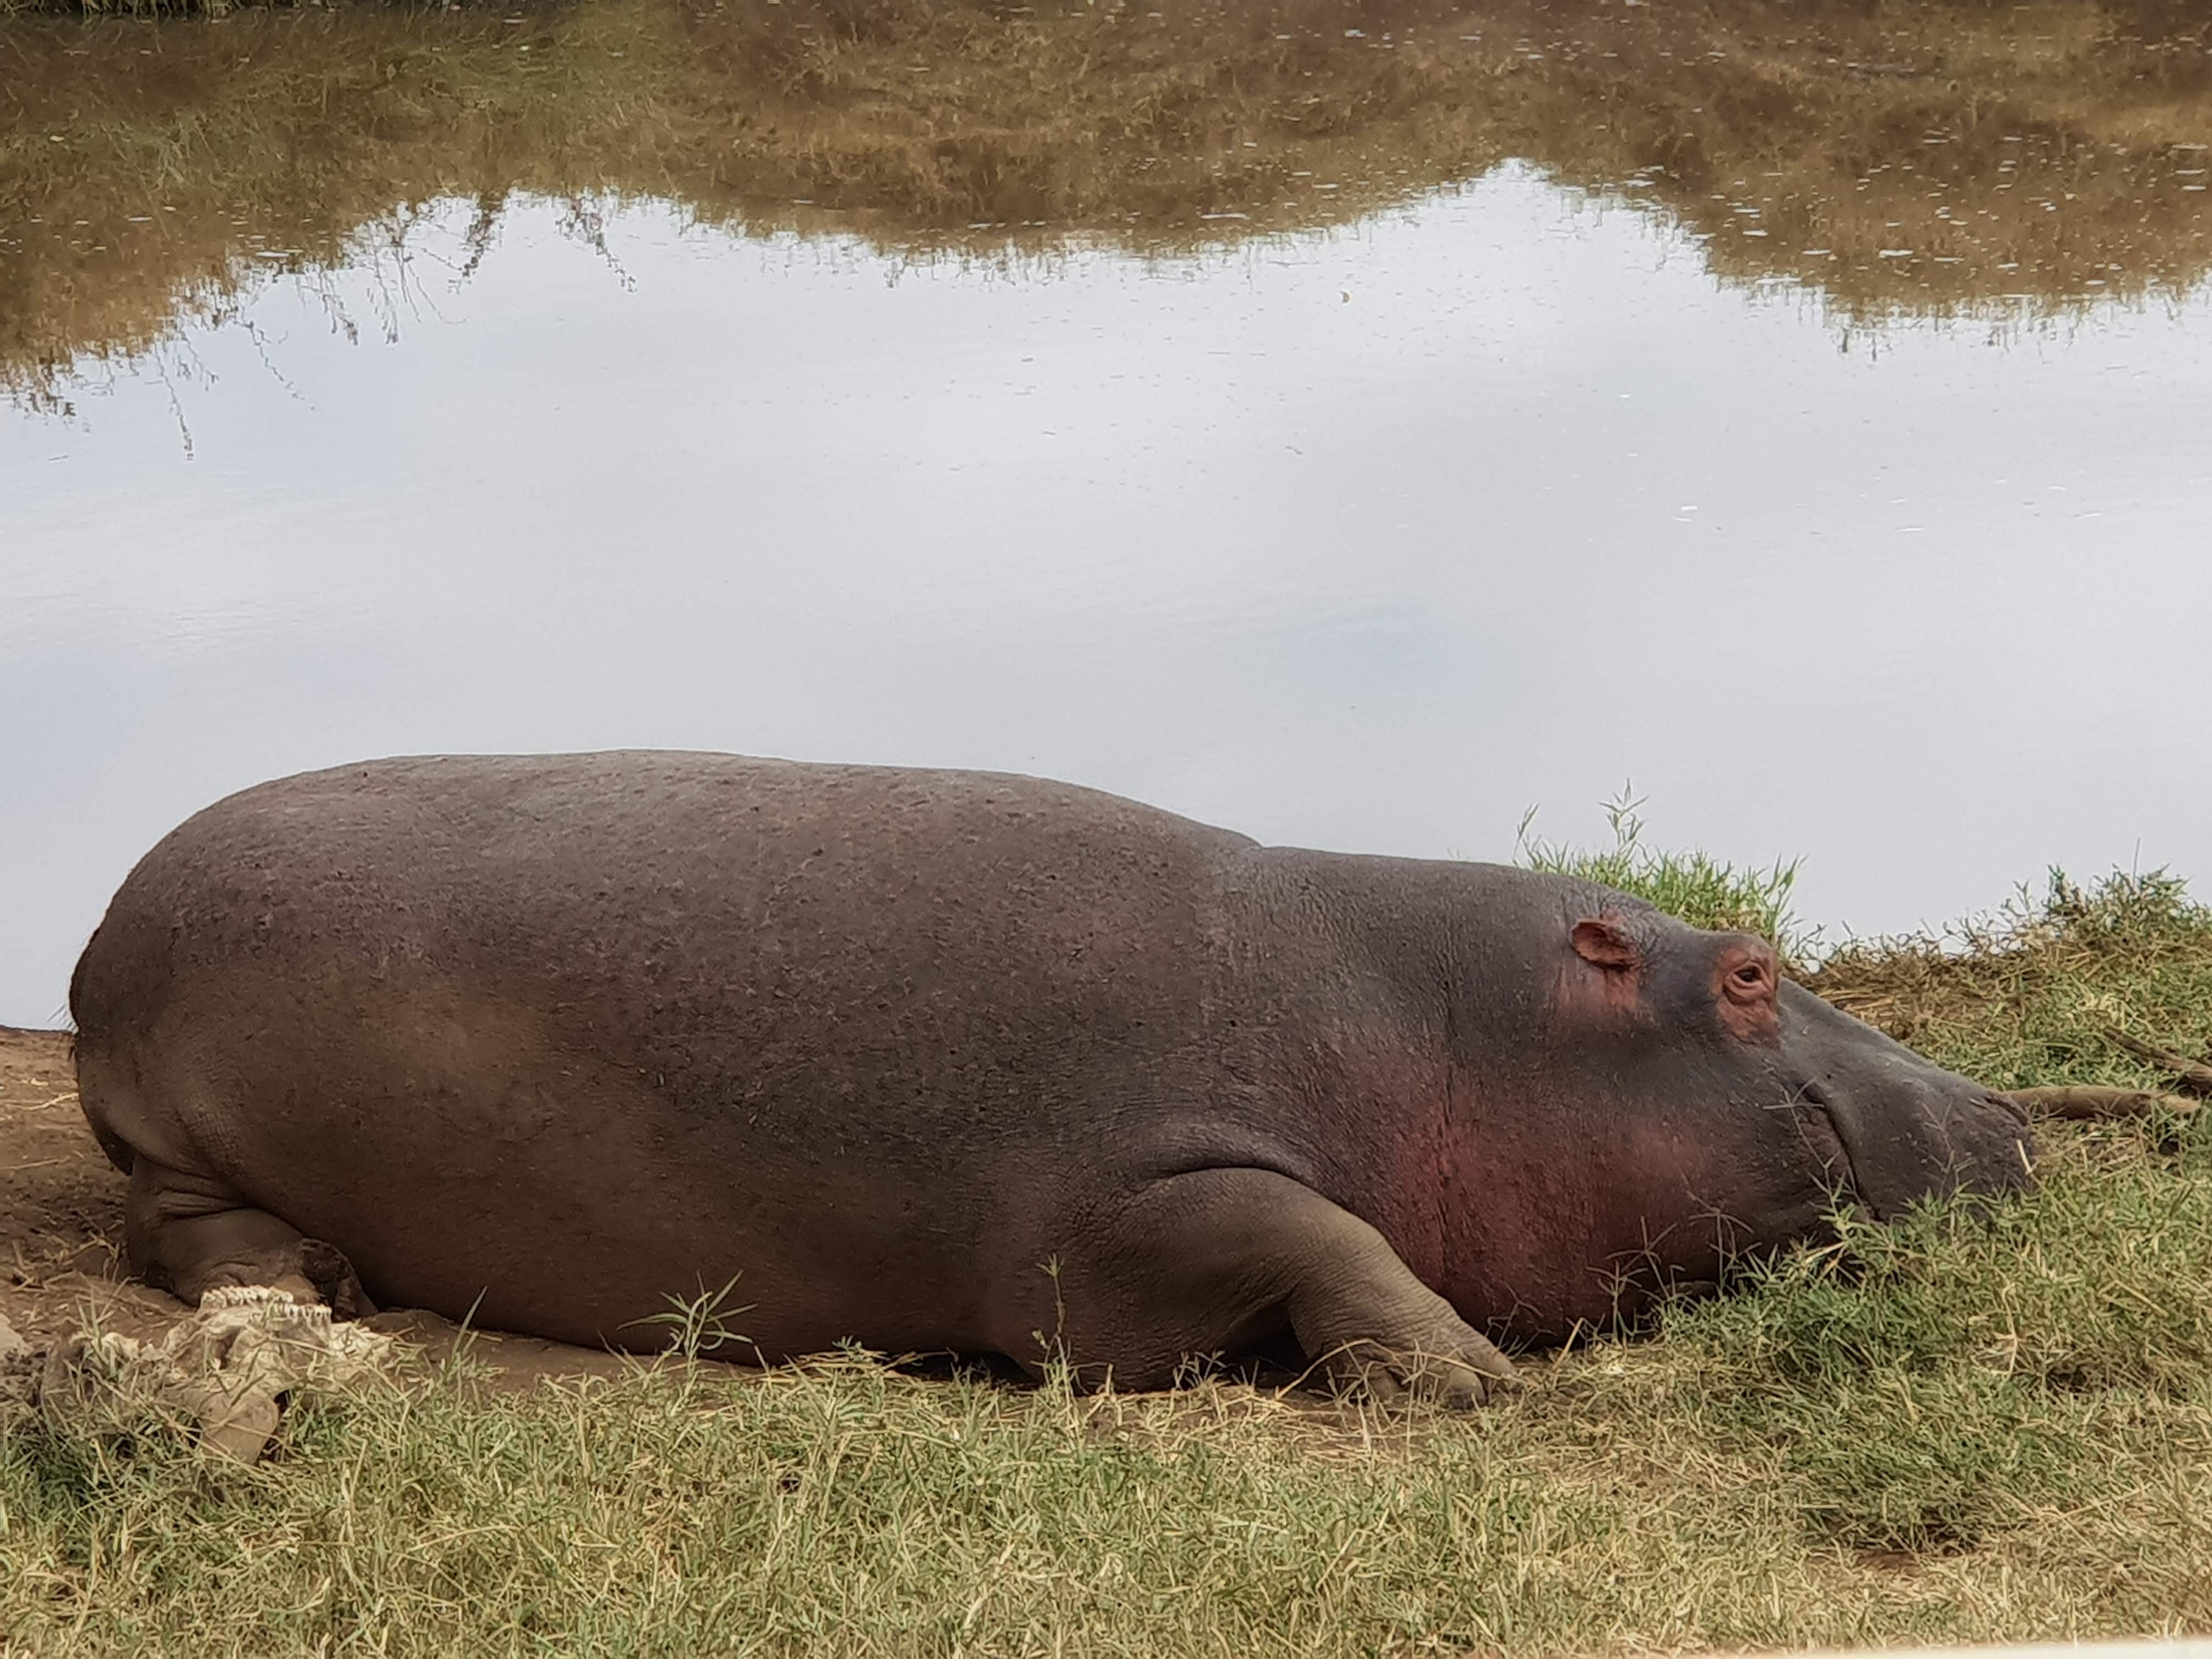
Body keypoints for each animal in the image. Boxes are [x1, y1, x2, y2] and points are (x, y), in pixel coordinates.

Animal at [69, 752, 2033, 1403]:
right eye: (1753, 971)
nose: (2008, 1111)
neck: (1444, 1025)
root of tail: (96, 936)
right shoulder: (1112, 1218)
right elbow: (1322, 1235)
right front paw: (1468, 1378)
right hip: (169, 1116)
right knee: (178, 1226)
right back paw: (307, 1284)